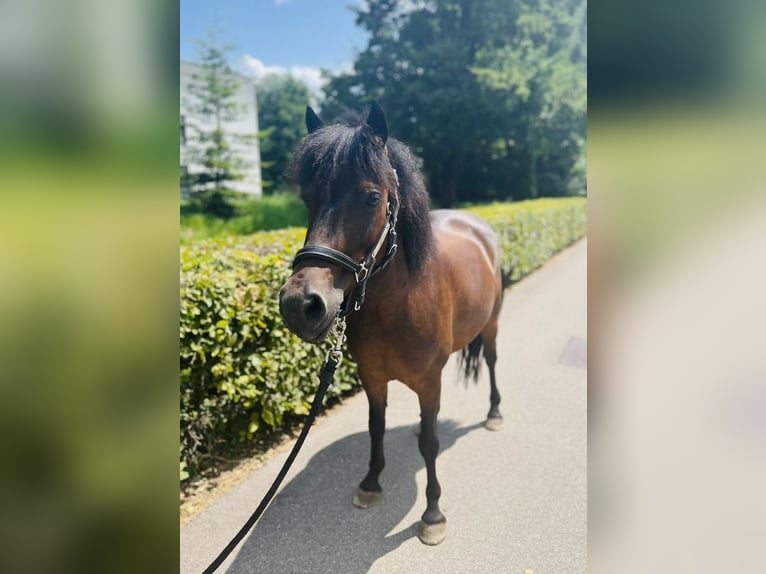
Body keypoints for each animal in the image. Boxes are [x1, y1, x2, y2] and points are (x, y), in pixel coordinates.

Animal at [280, 101, 508, 548]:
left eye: (372, 198)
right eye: (307, 197)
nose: (301, 303)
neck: (397, 305)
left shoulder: (430, 381)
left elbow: (431, 444)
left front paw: (433, 514)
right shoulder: (373, 379)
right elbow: (376, 427)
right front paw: (371, 483)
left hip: (490, 326)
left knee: (490, 362)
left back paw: (493, 412)